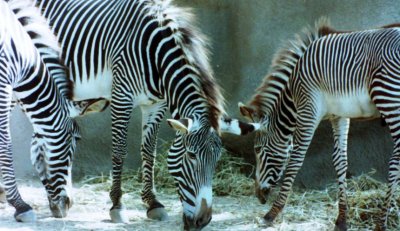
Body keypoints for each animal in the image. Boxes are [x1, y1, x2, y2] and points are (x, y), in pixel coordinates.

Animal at [32, 0, 260, 227]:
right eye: (191, 155)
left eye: (217, 159)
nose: (203, 221)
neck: (156, 55)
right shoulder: (121, 97)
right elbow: (119, 151)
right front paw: (117, 205)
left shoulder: (156, 105)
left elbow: (149, 151)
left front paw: (153, 203)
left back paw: (56, 202)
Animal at [239, 19, 400, 231]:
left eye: (257, 149)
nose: (259, 196)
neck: (292, 92)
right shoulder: (339, 115)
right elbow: (340, 160)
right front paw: (341, 220)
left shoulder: (308, 110)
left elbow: (296, 159)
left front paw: (271, 214)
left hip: (389, 98)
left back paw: (381, 223)